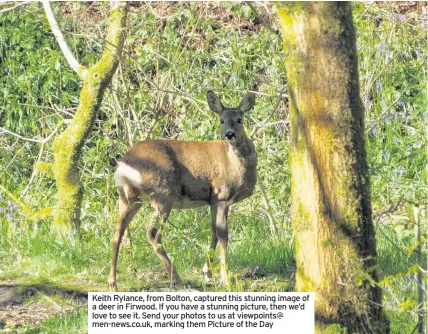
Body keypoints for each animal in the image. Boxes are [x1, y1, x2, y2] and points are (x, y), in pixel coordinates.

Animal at [108, 90, 258, 290]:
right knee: (152, 231)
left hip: (128, 198)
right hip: (163, 193)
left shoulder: (212, 200)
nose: (229, 134)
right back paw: (177, 279)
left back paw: (112, 283)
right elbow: (223, 235)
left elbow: (213, 232)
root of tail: (123, 164)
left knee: (118, 231)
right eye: (221, 120)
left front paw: (208, 274)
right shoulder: (222, 195)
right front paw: (224, 280)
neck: (235, 163)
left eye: (239, 119)